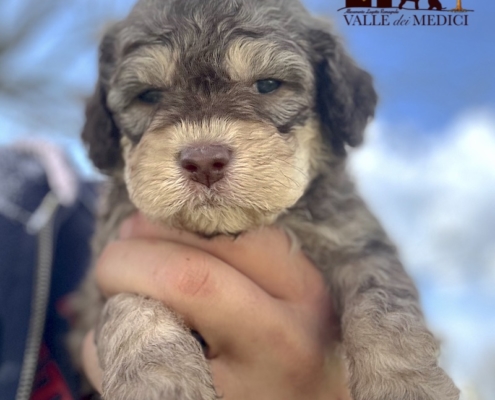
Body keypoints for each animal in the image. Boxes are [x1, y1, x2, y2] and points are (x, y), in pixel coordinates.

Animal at [72, 0, 462, 400]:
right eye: (149, 95)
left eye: (268, 85)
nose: (204, 161)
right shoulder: (111, 266)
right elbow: (134, 309)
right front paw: (159, 382)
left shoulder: (354, 238)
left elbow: (384, 305)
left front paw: (407, 385)